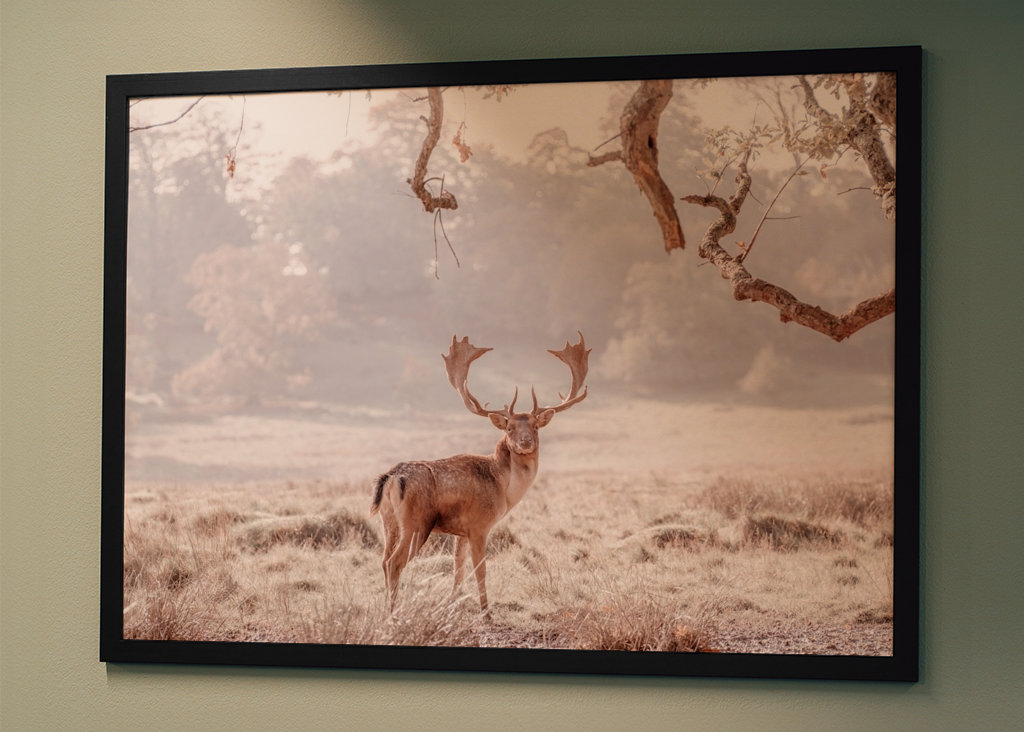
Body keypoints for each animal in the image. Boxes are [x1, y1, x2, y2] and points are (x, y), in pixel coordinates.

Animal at [370, 332, 590, 616]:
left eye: (535, 426)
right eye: (509, 427)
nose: (525, 441)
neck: (504, 489)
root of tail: (392, 478)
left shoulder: (460, 531)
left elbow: (458, 569)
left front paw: (450, 604)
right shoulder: (479, 524)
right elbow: (480, 570)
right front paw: (486, 612)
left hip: (388, 521)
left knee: (383, 560)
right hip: (416, 522)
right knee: (394, 563)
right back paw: (394, 612)